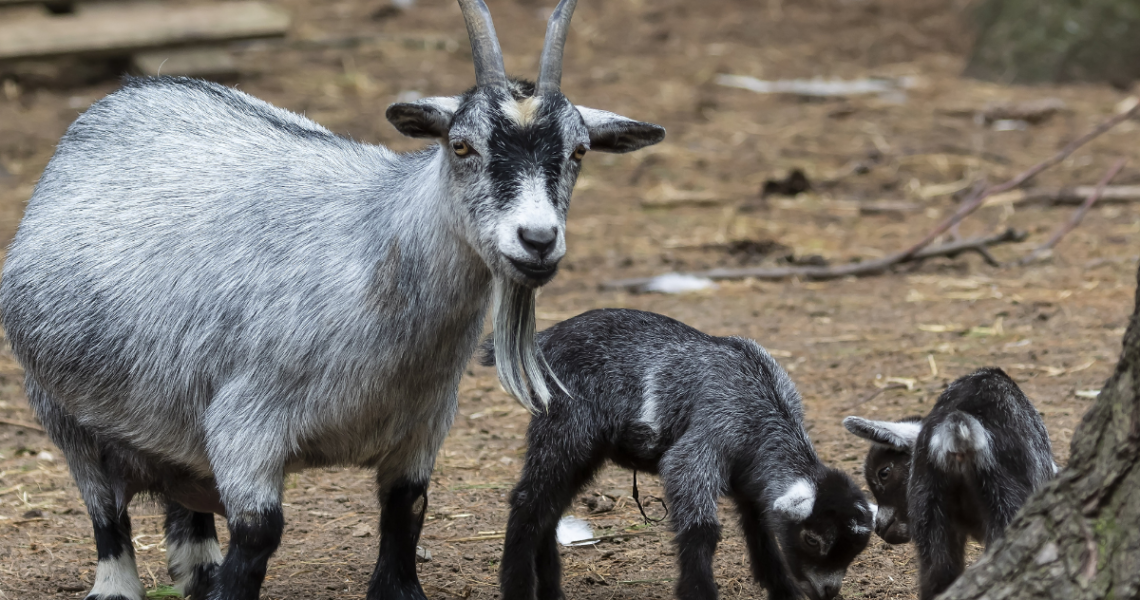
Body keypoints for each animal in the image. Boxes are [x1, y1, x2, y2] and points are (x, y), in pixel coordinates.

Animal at [0, 1, 664, 598]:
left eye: (578, 151)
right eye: (461, 146)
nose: (537, 239)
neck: (377, 250)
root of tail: (131, 94)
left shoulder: (421, 430)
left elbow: (406, 519)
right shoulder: (245, 425)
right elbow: (259, 536)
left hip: (174, 428)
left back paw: (198, 570)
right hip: (64, 416)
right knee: (107, 518)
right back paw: (119, 582)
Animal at [481, 309, 874, 600]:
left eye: (855, 550)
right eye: (812, 539)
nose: (827, 592)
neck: (763, 405)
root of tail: (544, 339)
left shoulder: (750, 480)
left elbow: (760, 531)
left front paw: (784, 590)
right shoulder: (702, 446)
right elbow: (701, 529)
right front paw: (699, 592)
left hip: (581, 449)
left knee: (549, 508)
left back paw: (551, 591)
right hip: (564, 428)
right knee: (528, 501)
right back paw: (517, 588)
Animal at [843, 367, 1057, 600]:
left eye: (884, 472)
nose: (880, 528)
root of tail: (958, 425)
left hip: (928, 502)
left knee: (938, 571)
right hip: (1005, 499)